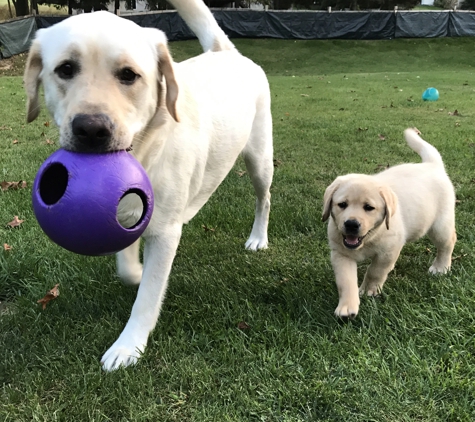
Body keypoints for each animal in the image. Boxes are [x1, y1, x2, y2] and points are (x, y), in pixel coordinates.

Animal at [23, 0, 276, 370]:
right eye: (66, 69)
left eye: (129, 75)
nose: (91, 129)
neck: (145, 152)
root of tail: (225, 52)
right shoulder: (126, 217)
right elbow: (128, 267)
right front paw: (137, 271)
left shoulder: (166, 232)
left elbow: (148, 295)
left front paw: (129, 345)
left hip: (259, 159)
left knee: (264, 198)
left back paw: (258, 237)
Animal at [324, 129, 458, 316]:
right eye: (342, 205)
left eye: (369, 207)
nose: (351, 224)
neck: (370, 238)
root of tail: (432, 165)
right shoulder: (340, 253)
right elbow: (345, 280)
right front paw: (347, 307)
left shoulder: (388, 251)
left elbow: (375, 271)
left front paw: (369, 290)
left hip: (440, 225)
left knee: (447, 243)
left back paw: (441, 267)